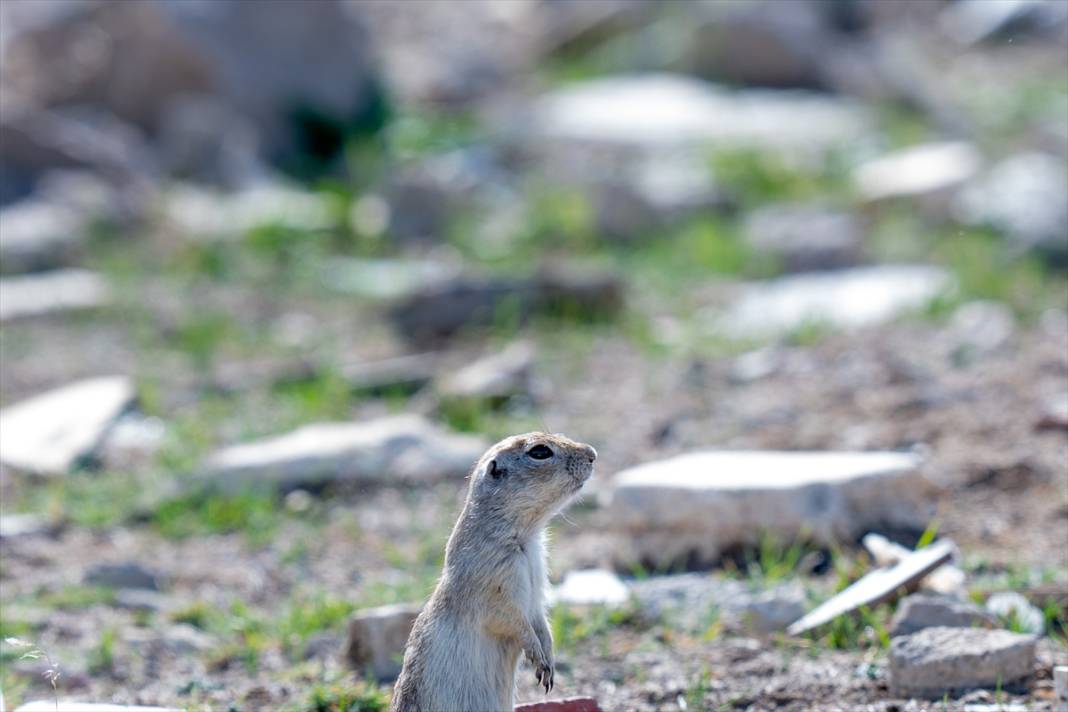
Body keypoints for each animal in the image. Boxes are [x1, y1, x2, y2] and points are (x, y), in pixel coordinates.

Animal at [390, 431, 598, 708]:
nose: (592, 453)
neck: (525, 538)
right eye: (540, 452)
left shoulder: (536, 587)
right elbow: (510, 618)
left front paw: (550, 661)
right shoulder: (493, 584)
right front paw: (538, 658)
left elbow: (540, 619)